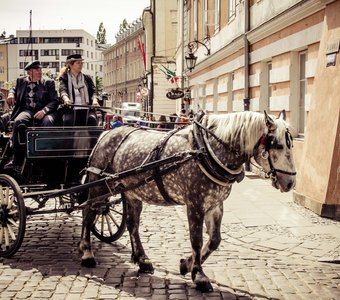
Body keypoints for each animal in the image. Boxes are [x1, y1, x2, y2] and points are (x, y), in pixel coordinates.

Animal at [79, 111, 294, 292]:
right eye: (278, 145)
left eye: (291, 144)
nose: (291, 182)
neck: (205, 151)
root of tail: (107, 133)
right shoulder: (195, 203)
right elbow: (196, 240)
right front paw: (199, 276)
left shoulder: (215, 205)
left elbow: (214, 240)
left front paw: (186, 265)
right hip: (99, 186)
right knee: (88, 214)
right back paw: (87, 253)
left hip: (132, 193)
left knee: (132, 225)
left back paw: (142, 260)